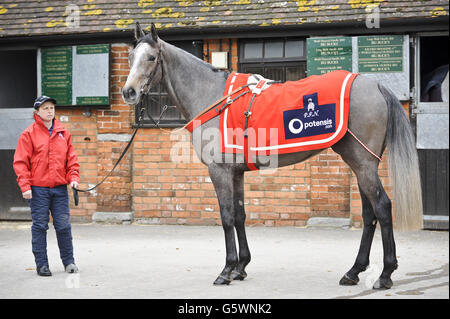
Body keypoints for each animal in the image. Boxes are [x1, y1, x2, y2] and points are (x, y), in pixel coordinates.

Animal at [122, 23, 422, 292]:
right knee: (370, 213)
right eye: (130, 56)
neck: (213, 97)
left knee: (382, 207)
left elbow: (227, 216)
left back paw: (385, 274)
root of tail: (375, 84)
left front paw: (226, 270)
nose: (129, 92)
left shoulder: (219, 171)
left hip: (363, 163)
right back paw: (354, 271)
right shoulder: (236, 172)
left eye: (151, 58)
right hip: (360, 163)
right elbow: (240, 214)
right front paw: (241, 267)